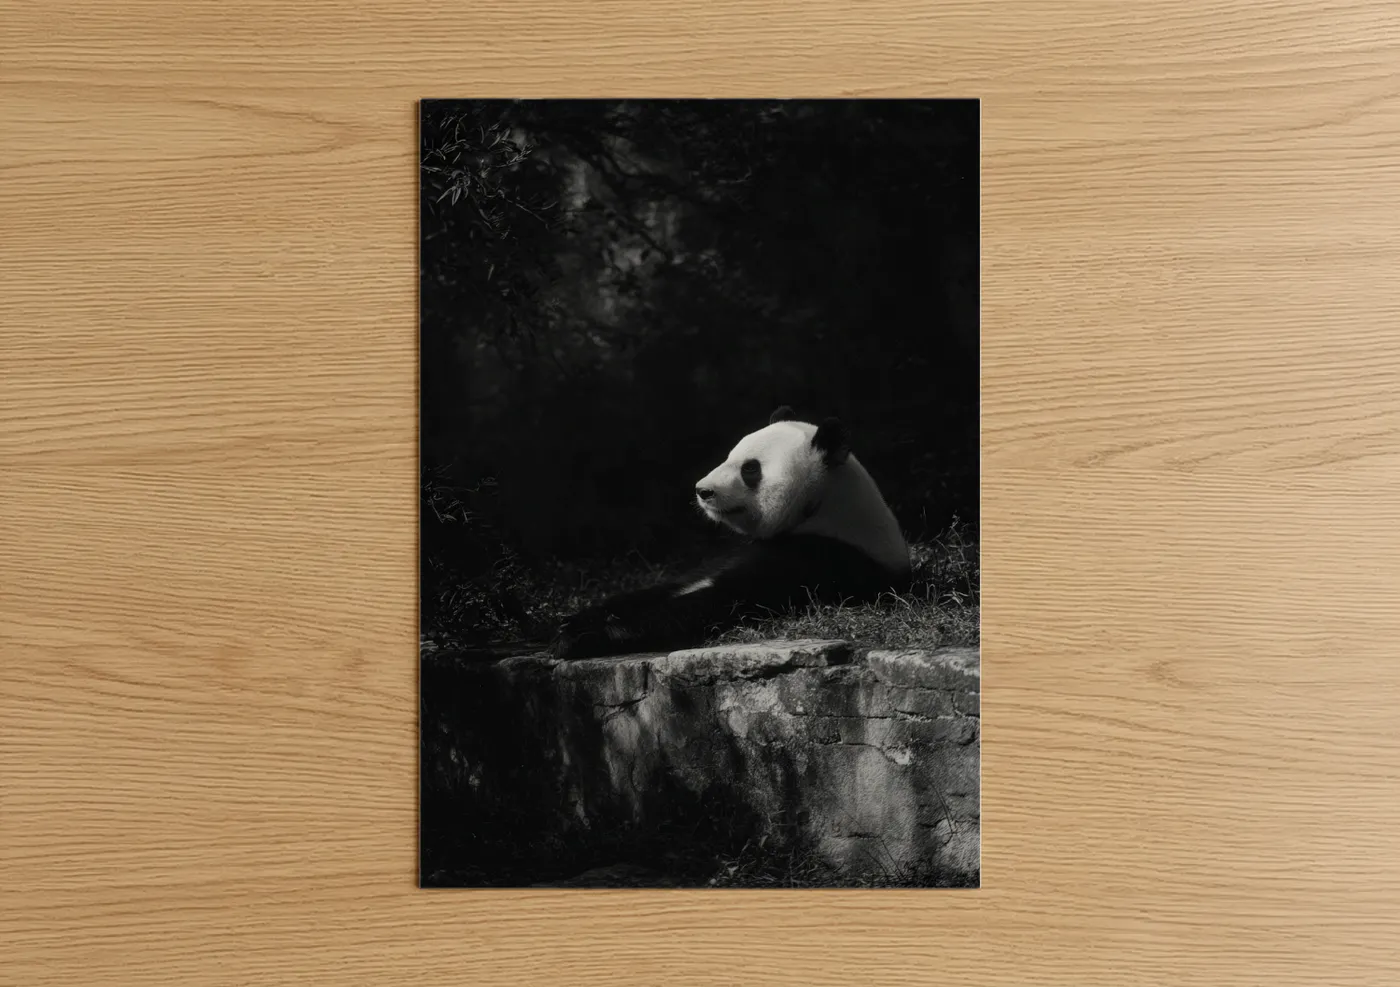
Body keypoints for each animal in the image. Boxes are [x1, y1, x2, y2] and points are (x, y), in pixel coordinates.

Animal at [549, 406, 911, 659]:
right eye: (729, 456)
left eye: (750, 469)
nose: (702, 491)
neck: (824, 509)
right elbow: (675, 584)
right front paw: (578, 619)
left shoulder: (823, 556)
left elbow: (717, 599)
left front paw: (584, 638)